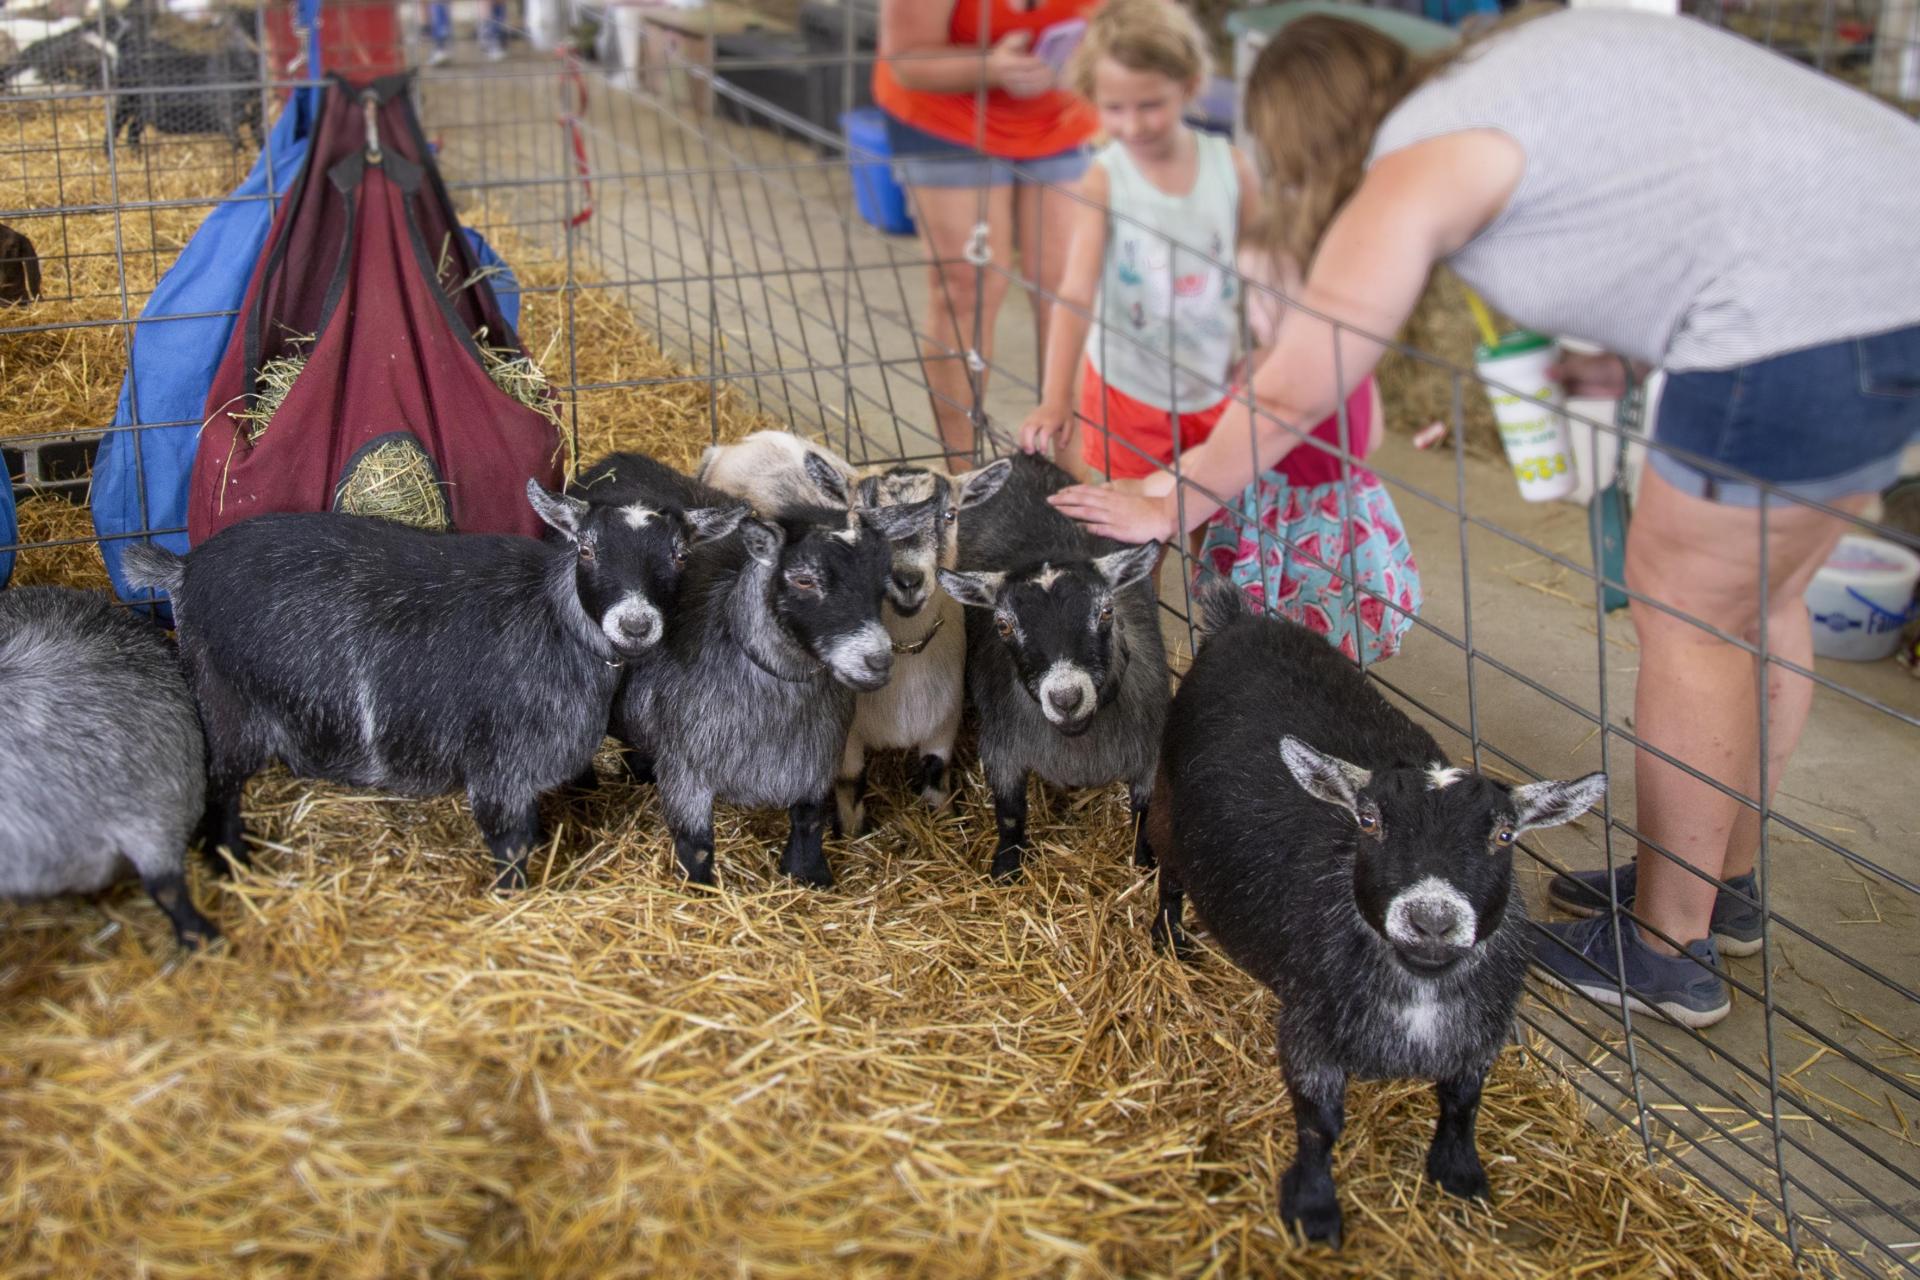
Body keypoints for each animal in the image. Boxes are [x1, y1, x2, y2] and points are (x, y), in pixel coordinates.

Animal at [118, 485, 733, 898]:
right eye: (586, 548)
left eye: (681, 555)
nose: (636, 623)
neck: (554, 622)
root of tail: (182, 569)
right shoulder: (499, 766)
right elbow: (511, 845)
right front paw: (513, 903)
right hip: (229, 707)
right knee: (219, 792)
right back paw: (234, 867)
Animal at [933, 454, 1159, 886]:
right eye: (1003, 625)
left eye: (1107, 611)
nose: (1066, 697)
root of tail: (1021, 458)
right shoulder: (1001, 748)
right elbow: (1009, 813)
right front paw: (1006, 868)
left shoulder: (1152, 756)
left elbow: (1148, 815)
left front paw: (1148, 866)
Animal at [1152, 587, 1605, 1243]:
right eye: (1369, 822)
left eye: (1503, 835)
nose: (1432, 919)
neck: (1419, 991)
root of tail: (1239, 620)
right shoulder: (1308, 1029)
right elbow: (1319, 1123)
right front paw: (1313, 1209)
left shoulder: (1483, 1034)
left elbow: (1464, 1101)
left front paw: (1457, 1172)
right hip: (1167, 802)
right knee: (1166, 865)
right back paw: (1168, 937)